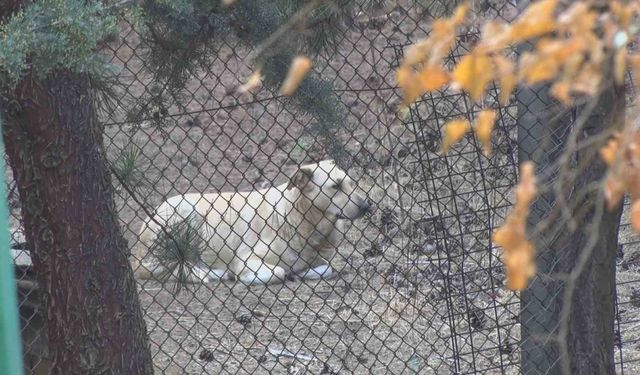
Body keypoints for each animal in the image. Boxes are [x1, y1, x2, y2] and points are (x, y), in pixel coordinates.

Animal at [130, 160, 370, 286]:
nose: (368, 206)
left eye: (350, 183)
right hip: (189, 214)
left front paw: (302, 272)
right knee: (169, 269)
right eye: (335, 186)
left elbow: (327, 268)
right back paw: (212, 274)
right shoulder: (246, 258)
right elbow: (278, 272)